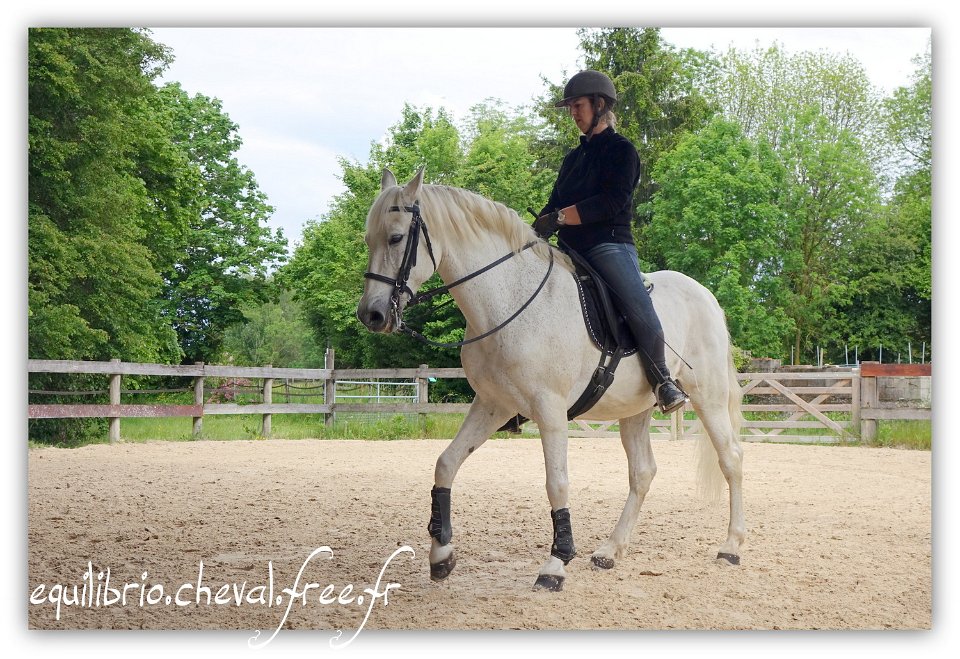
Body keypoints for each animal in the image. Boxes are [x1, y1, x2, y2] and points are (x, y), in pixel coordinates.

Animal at [356, 168, 748, 592]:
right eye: (368, 239)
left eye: (396, 238)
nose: (371, 315)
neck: (509, 301)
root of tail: (706, 295)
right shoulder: (494, 404)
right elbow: (446, 463)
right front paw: (441, 554)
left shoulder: (550, 410)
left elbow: (556, 483)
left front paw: (556, 564)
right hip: (635, 409)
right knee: (642, 473)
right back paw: (610, 550)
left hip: (707, 397)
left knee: (731, 458)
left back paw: (731, 546)